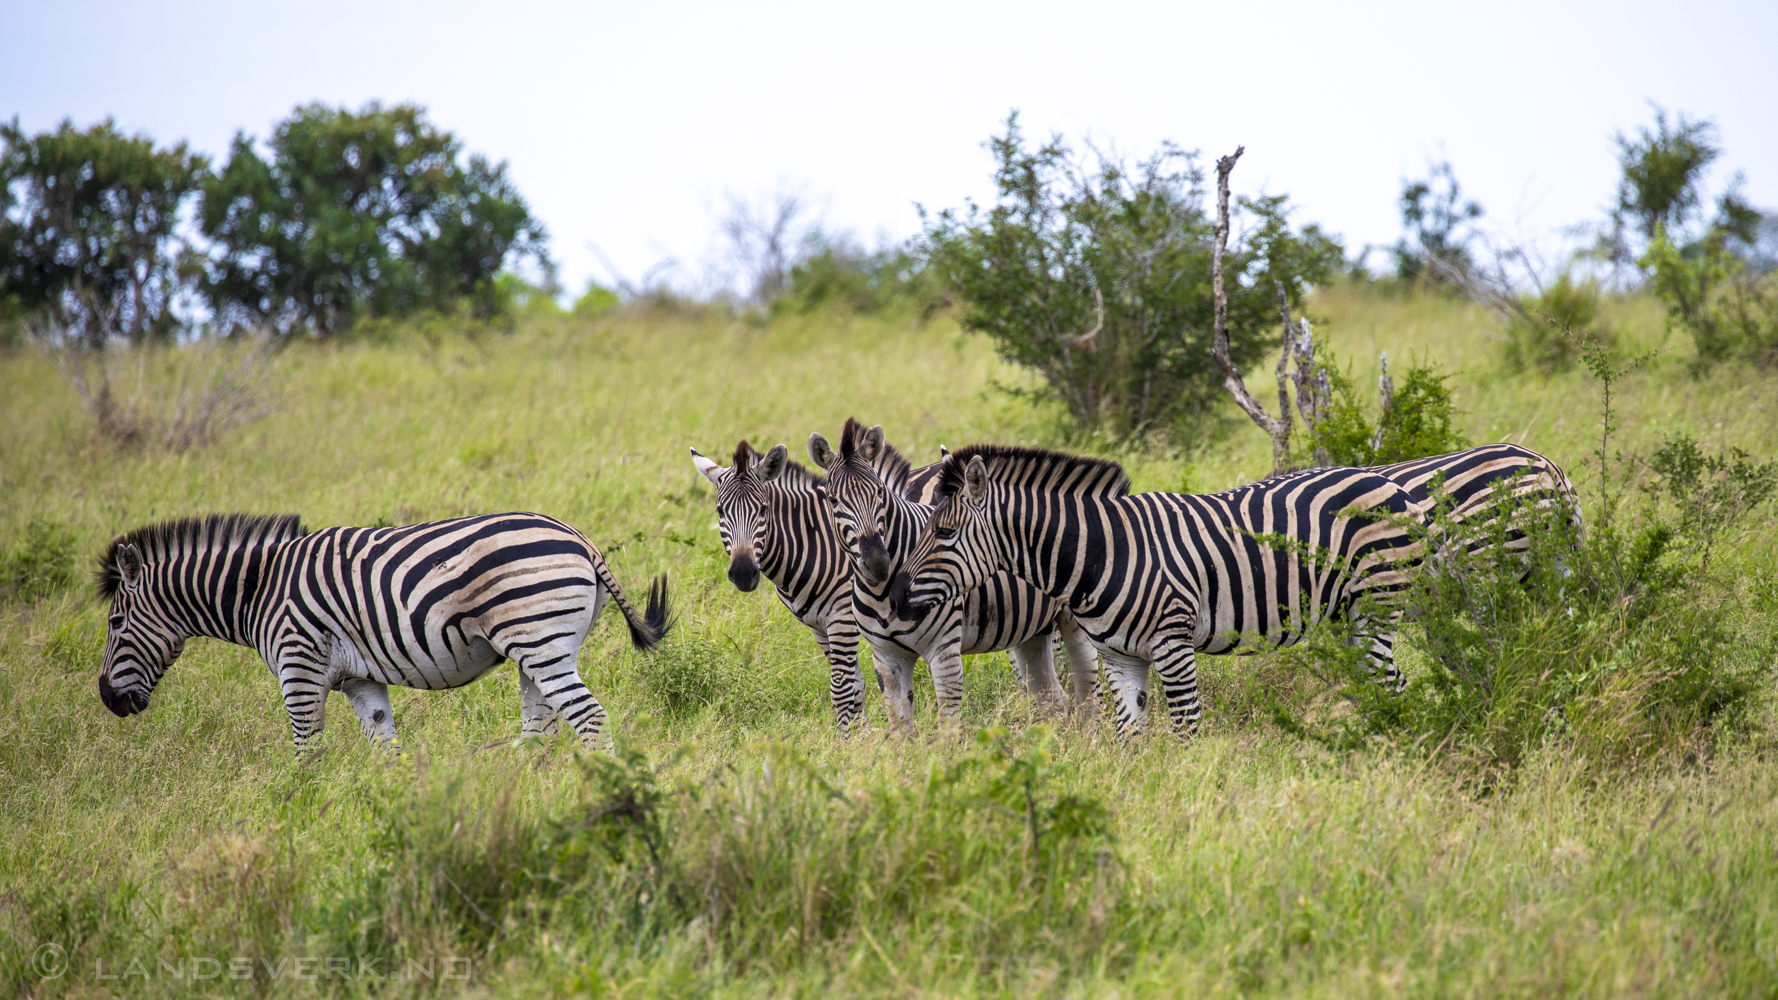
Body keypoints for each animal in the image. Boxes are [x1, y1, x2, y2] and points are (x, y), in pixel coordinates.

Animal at [97, 512, 668, 747]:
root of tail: (580, 538)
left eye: (115, 622)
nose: (107, 699)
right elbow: (384, 746)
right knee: (540, 729)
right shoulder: (359, 680)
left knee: (589, 718)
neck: (258, 588)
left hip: (540, 641)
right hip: (537, 650)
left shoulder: (298, 666)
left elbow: (306, 750)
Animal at [814, 416, 1102, 718]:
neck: (882, 594)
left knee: (1090, 692)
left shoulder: (944, 648)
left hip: (1075, 619)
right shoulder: (884, 655)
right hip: (1032, 627)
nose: (878, 563)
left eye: (880, 492)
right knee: (1055, 696)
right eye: (832, 500)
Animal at [896, 444, 1422, 733]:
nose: (897, 597)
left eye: (943, 533)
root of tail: (1388, 483)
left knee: (1391, 685)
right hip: (1344, 616)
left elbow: (1186, 727)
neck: (1103, 553)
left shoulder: (1173, 644)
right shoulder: (1119, 657)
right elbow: (1130, 735)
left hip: (1374, 608)